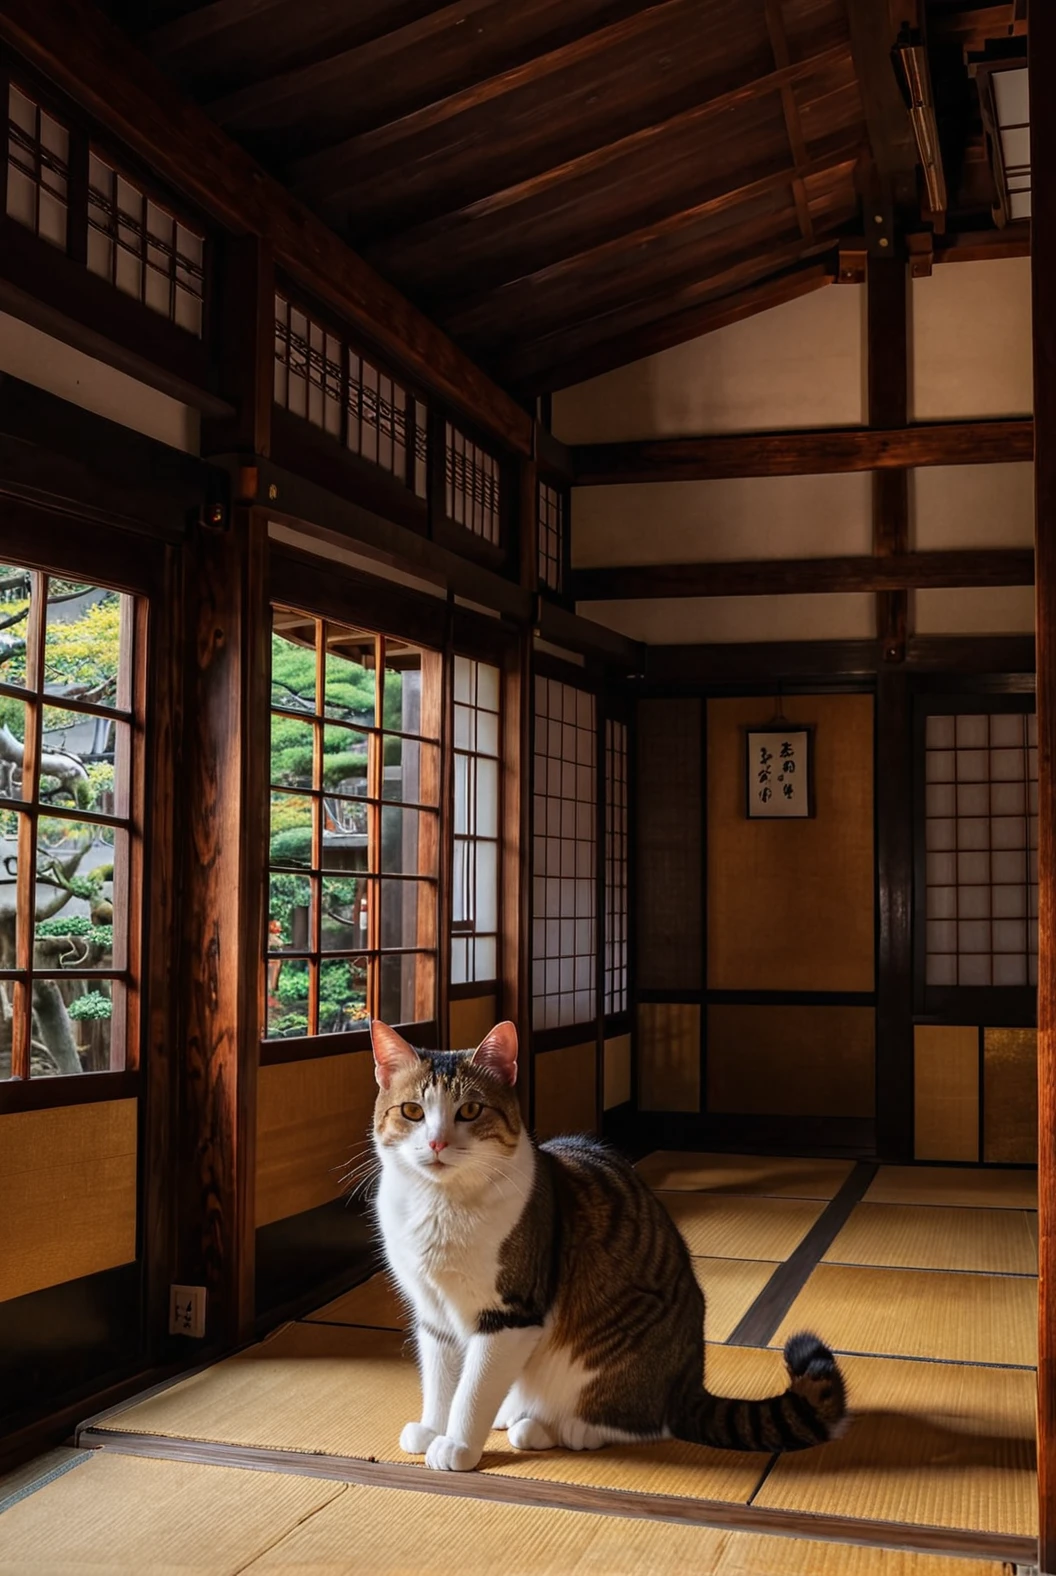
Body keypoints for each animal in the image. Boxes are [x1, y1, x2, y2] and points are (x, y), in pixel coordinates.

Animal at [368, 1014, 851, 1468]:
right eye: (412, 1111)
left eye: (469, 1110)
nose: (436, 1142)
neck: (438, 1205)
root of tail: (689, 1385)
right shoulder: (433, 1312)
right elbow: (441, 1379)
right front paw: (433, 1428)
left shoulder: (511, 1313)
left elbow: (472, 1390)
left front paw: (459, 1445)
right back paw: (515, 1414)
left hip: (614, 1342)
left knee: (643, 1423)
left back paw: (555, 1428)